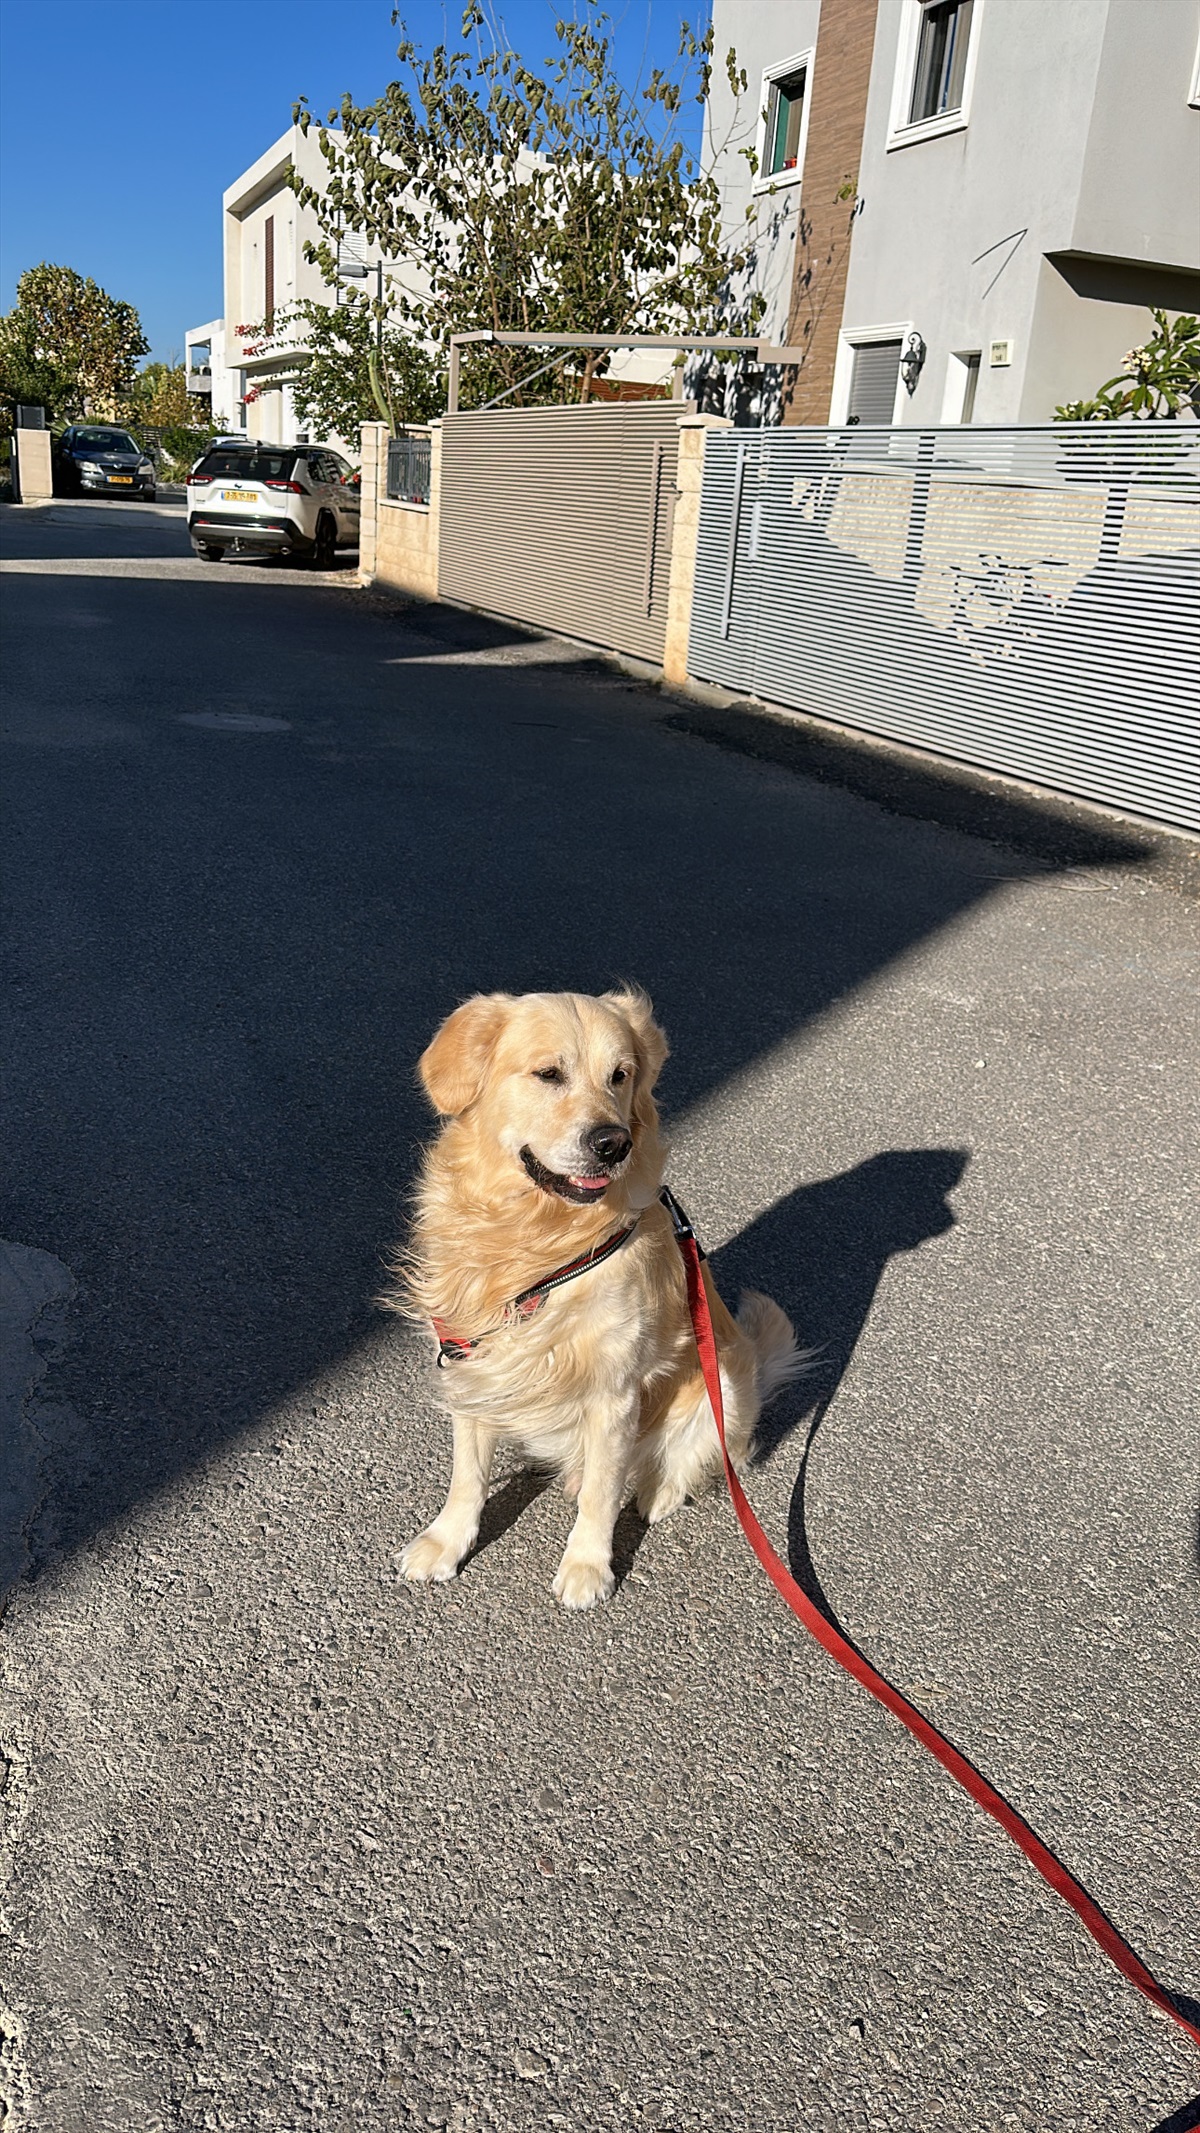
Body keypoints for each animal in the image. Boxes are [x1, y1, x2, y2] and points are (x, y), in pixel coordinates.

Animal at [394, 989, 801, 1604]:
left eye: (620, 1075)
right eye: (548, 1074)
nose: (613, 1143)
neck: (537, 1236)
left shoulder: (615, 1391)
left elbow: (603, 1492)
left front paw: (587, 1565)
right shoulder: (471, 1364)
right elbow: (468, 1474)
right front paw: (446, 1541)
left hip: (724, 1381)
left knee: (687, 1461)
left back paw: (656, 1492)